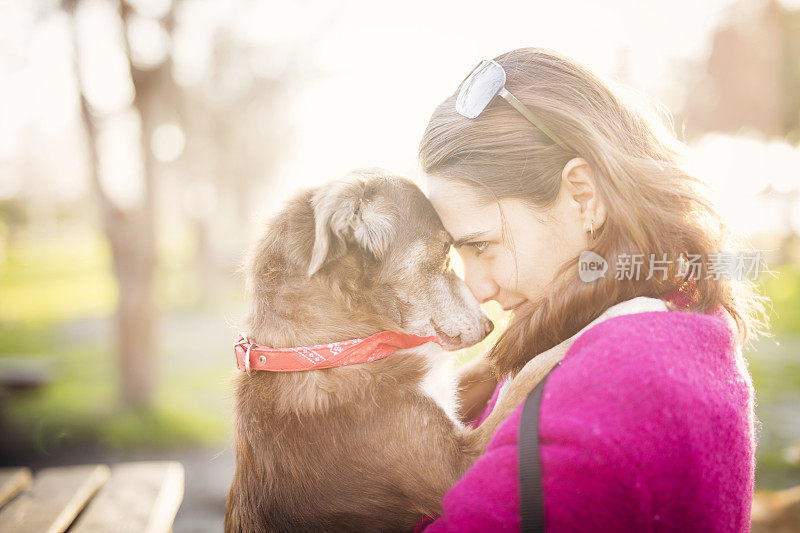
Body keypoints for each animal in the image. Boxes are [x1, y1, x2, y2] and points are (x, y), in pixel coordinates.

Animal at [225, 168, 572, 528]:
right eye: (445, 249)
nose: (489, 325)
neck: (340, 350)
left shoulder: (444, 395)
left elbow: (489, 365)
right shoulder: (461, 464)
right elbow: (527, 374)